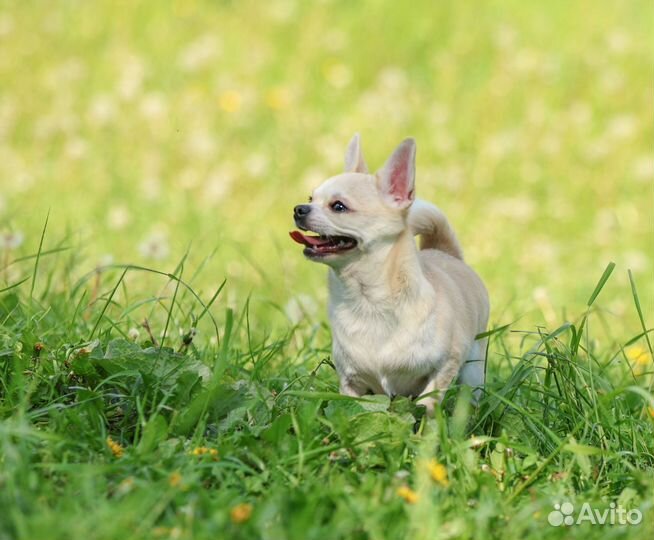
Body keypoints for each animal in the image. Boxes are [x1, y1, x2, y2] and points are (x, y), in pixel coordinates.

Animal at [292, 134, 492, 410]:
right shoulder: (350, 382)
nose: (299, 208)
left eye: (339, 206)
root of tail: (443, 251)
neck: (368, 301)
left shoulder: (445, 367)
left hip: (473, 369)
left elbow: (429, 403)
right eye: (310, 198)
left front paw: (426, 423)